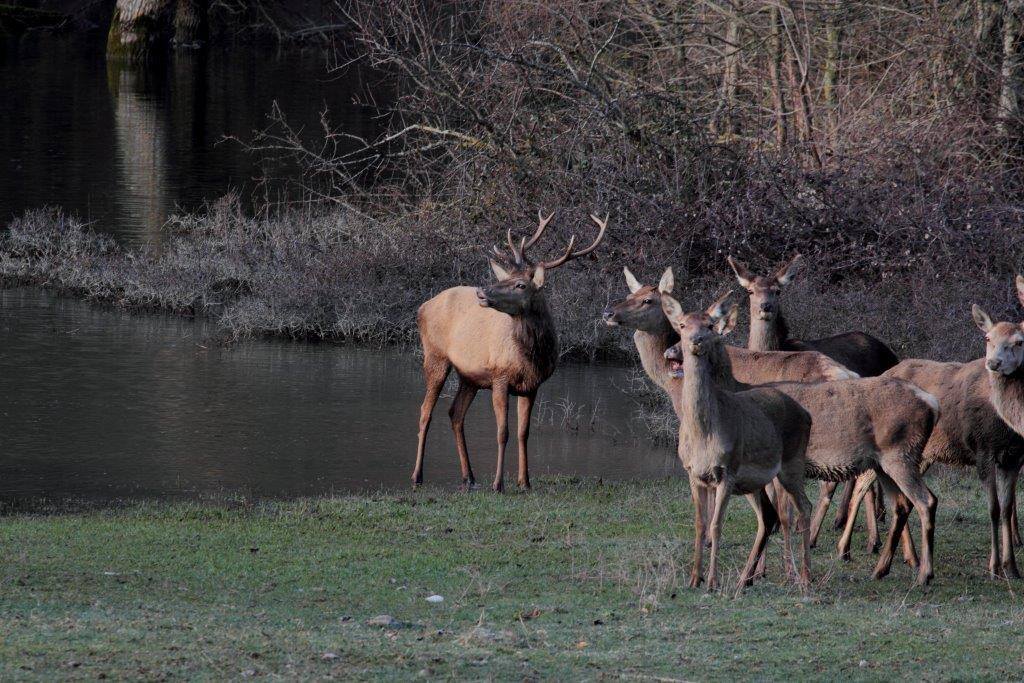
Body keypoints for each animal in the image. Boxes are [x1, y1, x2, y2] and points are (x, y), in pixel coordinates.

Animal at [411, 211, 606, 491]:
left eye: (521, 285)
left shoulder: (532, 386)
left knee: (455, 413)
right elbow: (502, 432)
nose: (482, 291)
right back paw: (417, 476)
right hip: (435, 356)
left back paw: (469, 477)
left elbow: (524, 433)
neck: (532, 358)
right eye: (503, 279)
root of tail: (422, 307)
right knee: (425, 412)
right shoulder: (499, 377)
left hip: (469, 376)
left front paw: (525, 482)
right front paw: (498, 484)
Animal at [659, 290, 811, 589]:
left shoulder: (727, 472)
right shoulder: (693, 473)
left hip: (791, 464)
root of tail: (806, 414)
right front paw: (694, 578)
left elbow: (717, 526)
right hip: (757, 482)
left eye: (709, 325)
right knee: (769, 518)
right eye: (682, 325)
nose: (696, 340)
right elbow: (700, 524)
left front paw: (712, 581)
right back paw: (746, 579)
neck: (704, 435)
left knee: (802, 509)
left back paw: (804, 577)